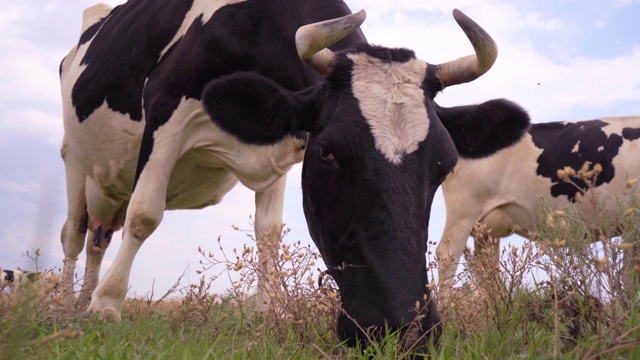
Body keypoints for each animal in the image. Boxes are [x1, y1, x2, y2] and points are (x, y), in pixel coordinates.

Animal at [60, 0, 528, 348]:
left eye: (444, 164)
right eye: (328, 153)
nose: (404, 330)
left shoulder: (281, 149)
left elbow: (268, 233)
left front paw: (268, 315)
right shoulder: (166, 105)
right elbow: (145, 215)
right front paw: (106, 307)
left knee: (99, 238)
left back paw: (79, 302)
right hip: (75, 159)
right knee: (76, 233)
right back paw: (69, 304)